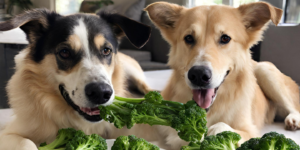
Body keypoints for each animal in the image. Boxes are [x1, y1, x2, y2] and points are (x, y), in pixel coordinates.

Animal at [145, 1, 300, 148]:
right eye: (189, 38)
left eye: (225, 38)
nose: (198, 75)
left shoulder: (250, 131)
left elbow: (221, 127)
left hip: (264, 70)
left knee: (294, 107)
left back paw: (293, 119)